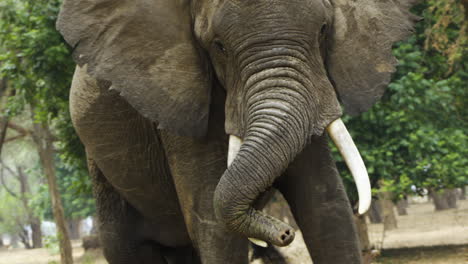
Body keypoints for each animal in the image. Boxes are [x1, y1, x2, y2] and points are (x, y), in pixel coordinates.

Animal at [55, 0, 416, 264]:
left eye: (323, 30)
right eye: (219, 46)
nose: (284, 233)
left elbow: (326, 207)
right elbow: (213, 225)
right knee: (125, 247)